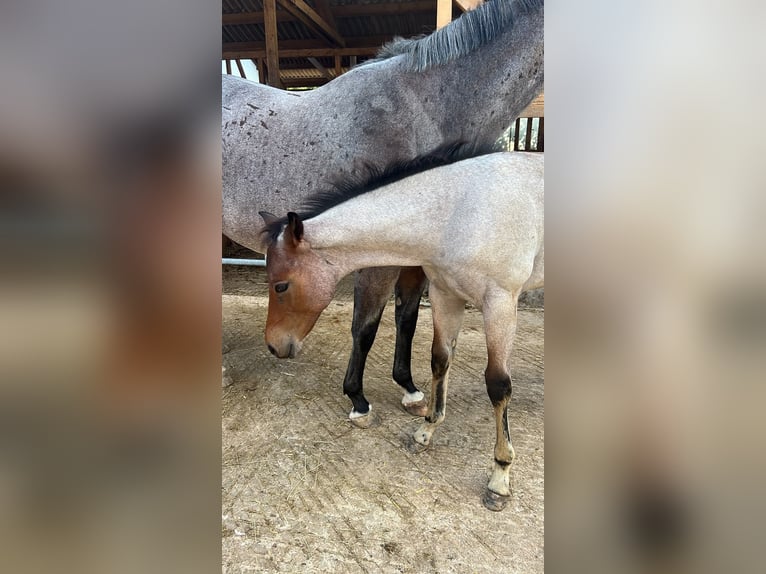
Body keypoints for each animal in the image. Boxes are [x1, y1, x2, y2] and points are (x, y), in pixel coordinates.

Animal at [223, 0, 544, 426]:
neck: (424, 106)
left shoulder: (416, 256)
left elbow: (406, 319)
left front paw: (408, 388)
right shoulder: (376, 256)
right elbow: (366, 325)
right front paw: (358, 399)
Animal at [259, 148, 544, 511]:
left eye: (280, 285)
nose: (273, 345)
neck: (460, 213)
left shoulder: (501, 304)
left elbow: (498, 385)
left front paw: (500, 478)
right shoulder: (444, 295)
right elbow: (440, 361)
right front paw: (425, 432)